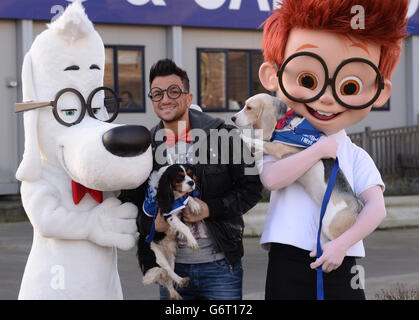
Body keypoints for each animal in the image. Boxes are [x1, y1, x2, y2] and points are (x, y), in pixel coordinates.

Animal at [17, 1, 154, 300]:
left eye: (99, 108)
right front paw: (110, 221)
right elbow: (52, 219)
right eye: (69, 112)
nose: (132, 138)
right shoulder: (35, 188)